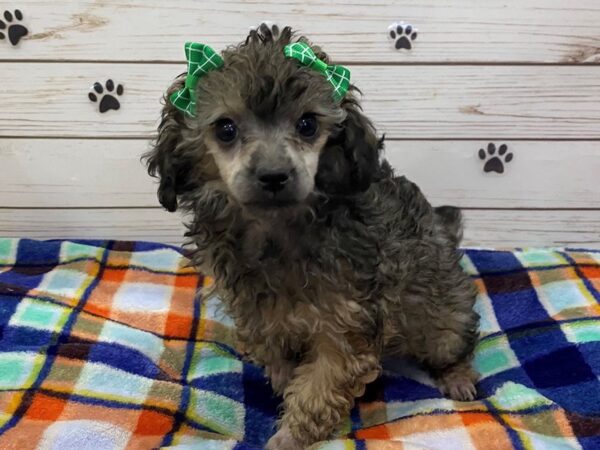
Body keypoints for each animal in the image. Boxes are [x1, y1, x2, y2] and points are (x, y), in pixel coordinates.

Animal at [144, 24, 478, 450]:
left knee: (454, 341)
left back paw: (458, 376)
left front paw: (289, 436)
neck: (278, 232)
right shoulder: (255, 309)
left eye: (307, 125)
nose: (273, 176)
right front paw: (281, 378)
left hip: (439, 318)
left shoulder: (348, 324)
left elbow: (320, 387)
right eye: (226, 129)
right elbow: (275, 352)